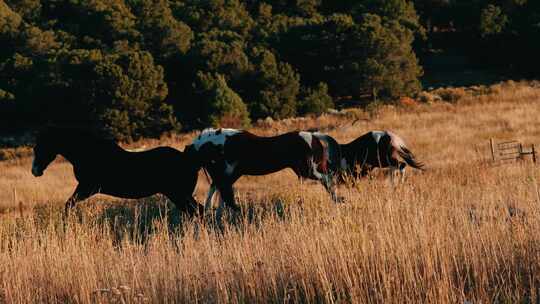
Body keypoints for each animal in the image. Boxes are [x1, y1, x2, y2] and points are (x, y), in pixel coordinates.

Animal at [31, 127, 205, 217]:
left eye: (40, 146)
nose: (35, 171)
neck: (88, 152)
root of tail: (188, 158)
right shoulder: (86, 188)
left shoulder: (87, 188)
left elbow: (68, 205)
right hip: (180, 196)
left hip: (179, 195)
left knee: (198, 211)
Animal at [186, 128, 342, 216]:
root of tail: (315, 136)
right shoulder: (225, 177)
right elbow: (219, 196)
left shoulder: (227, 176)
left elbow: (224, 197)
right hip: (313, 169)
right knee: (328, 180)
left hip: (309, 170)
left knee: (328, 179)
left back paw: (338, 199)